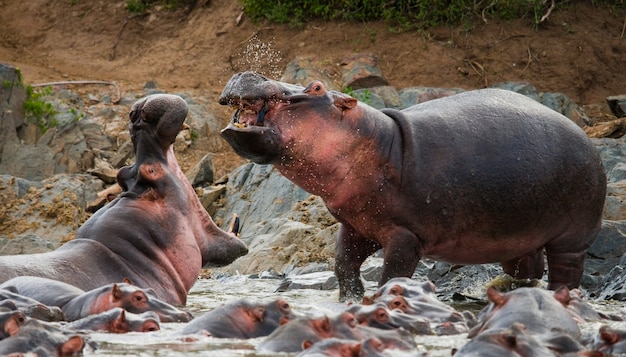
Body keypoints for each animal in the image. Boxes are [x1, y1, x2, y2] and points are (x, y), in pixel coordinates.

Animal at [218, 71, 604, 300]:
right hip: (520, 233)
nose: (247, 73)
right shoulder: (357, 225)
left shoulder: (406, 234)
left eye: (316, 87)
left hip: (573, 235)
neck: (377, 141)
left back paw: (559, 295)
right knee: (527, 266)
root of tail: (586, 136)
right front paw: (351, 299)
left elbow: (392, 274)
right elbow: (342, 264)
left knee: (566, 270)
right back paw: (504, 288)